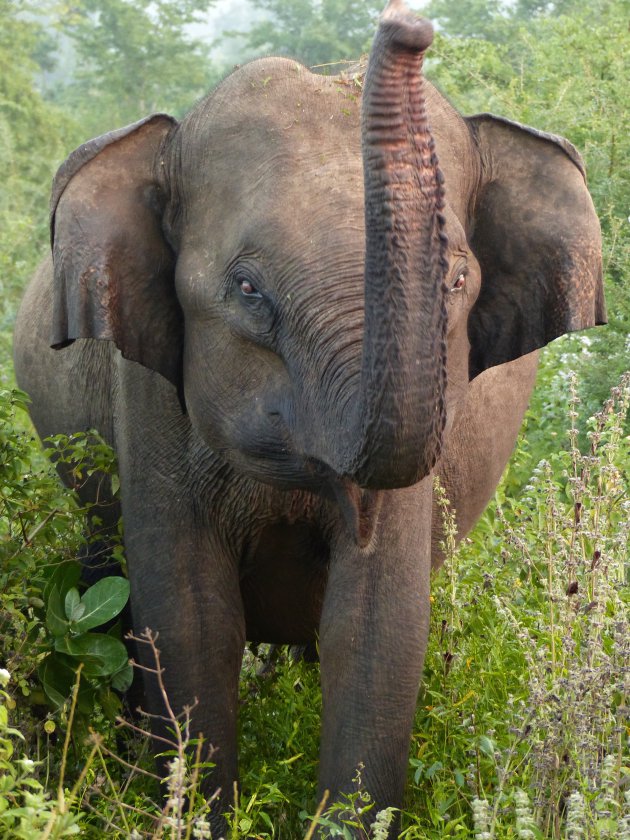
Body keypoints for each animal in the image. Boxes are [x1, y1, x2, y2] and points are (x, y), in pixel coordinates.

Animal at [16, 0, 608, 832]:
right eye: (247, 287)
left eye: (456, 280)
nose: (407, 25)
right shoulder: (149, 395)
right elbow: (189, 618)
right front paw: (195, 818)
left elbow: (374, 626)